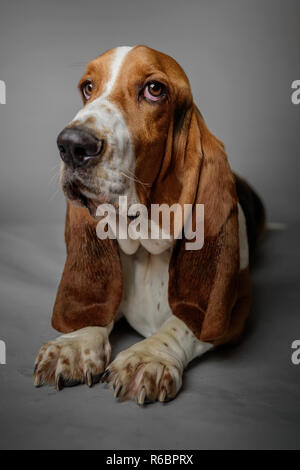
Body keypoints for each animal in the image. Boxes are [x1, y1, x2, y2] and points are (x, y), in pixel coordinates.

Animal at [33, 45, 264, 404]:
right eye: (87, 87)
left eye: (155, 90)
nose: (71, 145)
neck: (144, 243)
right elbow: (97, 309)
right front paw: (74, 344)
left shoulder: (235, 309)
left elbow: (183, 323)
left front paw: (148, 357)